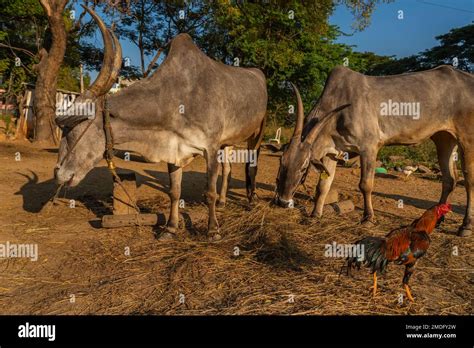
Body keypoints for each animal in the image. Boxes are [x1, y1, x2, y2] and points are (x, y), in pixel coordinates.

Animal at [54, 6, 266, 241]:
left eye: (73, 129)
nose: (59, 174)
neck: (178, 98)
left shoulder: (210, 148)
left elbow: (208, 191)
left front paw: (213, 230)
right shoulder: (176, 149)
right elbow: (174, 191)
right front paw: (170, 228)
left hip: (257, 133)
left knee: (251, 166)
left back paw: (251, 200)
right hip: (227, 143)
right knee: (228, 169)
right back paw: (222, 202)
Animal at [274, 66, 474, 237]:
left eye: (303, 167)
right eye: (281, 162)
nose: (282, 201)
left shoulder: (369, 148)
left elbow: (365, 185)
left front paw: (368, 218)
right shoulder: (332, 151)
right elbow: (323, 185)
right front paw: (315, 214)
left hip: (467, 139)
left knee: (469, 180)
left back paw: (465, 226)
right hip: (444, 138)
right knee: (449, 179)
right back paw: (438, 219)